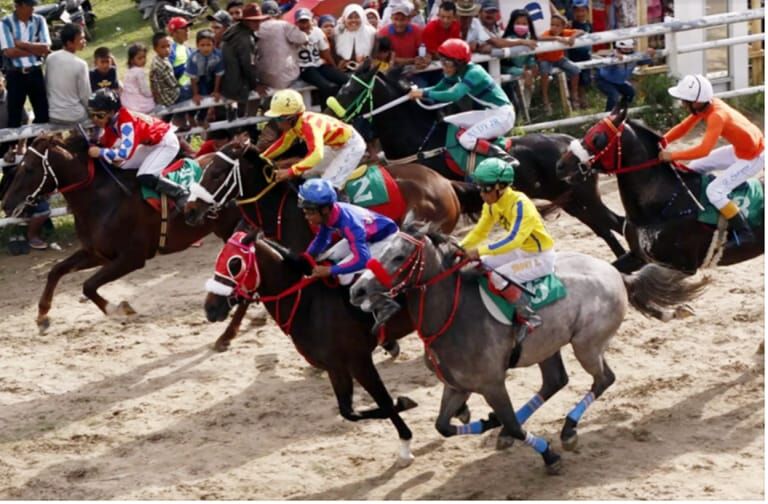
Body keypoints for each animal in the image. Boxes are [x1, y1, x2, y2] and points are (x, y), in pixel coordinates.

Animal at [0, 134, 242, 332]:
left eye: (29, 169)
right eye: (19, 167)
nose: (7, 204)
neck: (102, 199)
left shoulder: (131, 258)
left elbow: (88, 285)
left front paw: (119, 309)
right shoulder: (97, 253)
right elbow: (56, 271)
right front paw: (42, 316)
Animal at [202, 230, 471, 466]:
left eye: (234, 263)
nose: (210, 308)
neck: (307, 304)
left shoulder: (358, 360)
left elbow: (383, 401)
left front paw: (405, 444)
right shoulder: (335, 366)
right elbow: (348, 411)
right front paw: (419, 406)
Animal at [327, 61, 629, 258]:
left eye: (349, 89)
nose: (331, 113)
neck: (423, 140)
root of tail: (572, 143)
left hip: (583, 196)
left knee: (614, 223)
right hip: (570, 200)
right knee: (610, 226)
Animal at [347, 221, 706, 474]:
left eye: (398, 256)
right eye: (376, 251)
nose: (357, 290)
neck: (452, 315)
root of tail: (616, 273)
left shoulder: (492, 384)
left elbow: (515, 427)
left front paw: (548, 455)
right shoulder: (458, 386)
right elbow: (444, 427)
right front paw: (490, 424)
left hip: (586, 345)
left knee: (603, 379)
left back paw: (569, 430)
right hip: (547, 347)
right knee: (555, 381)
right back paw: (507, 431)